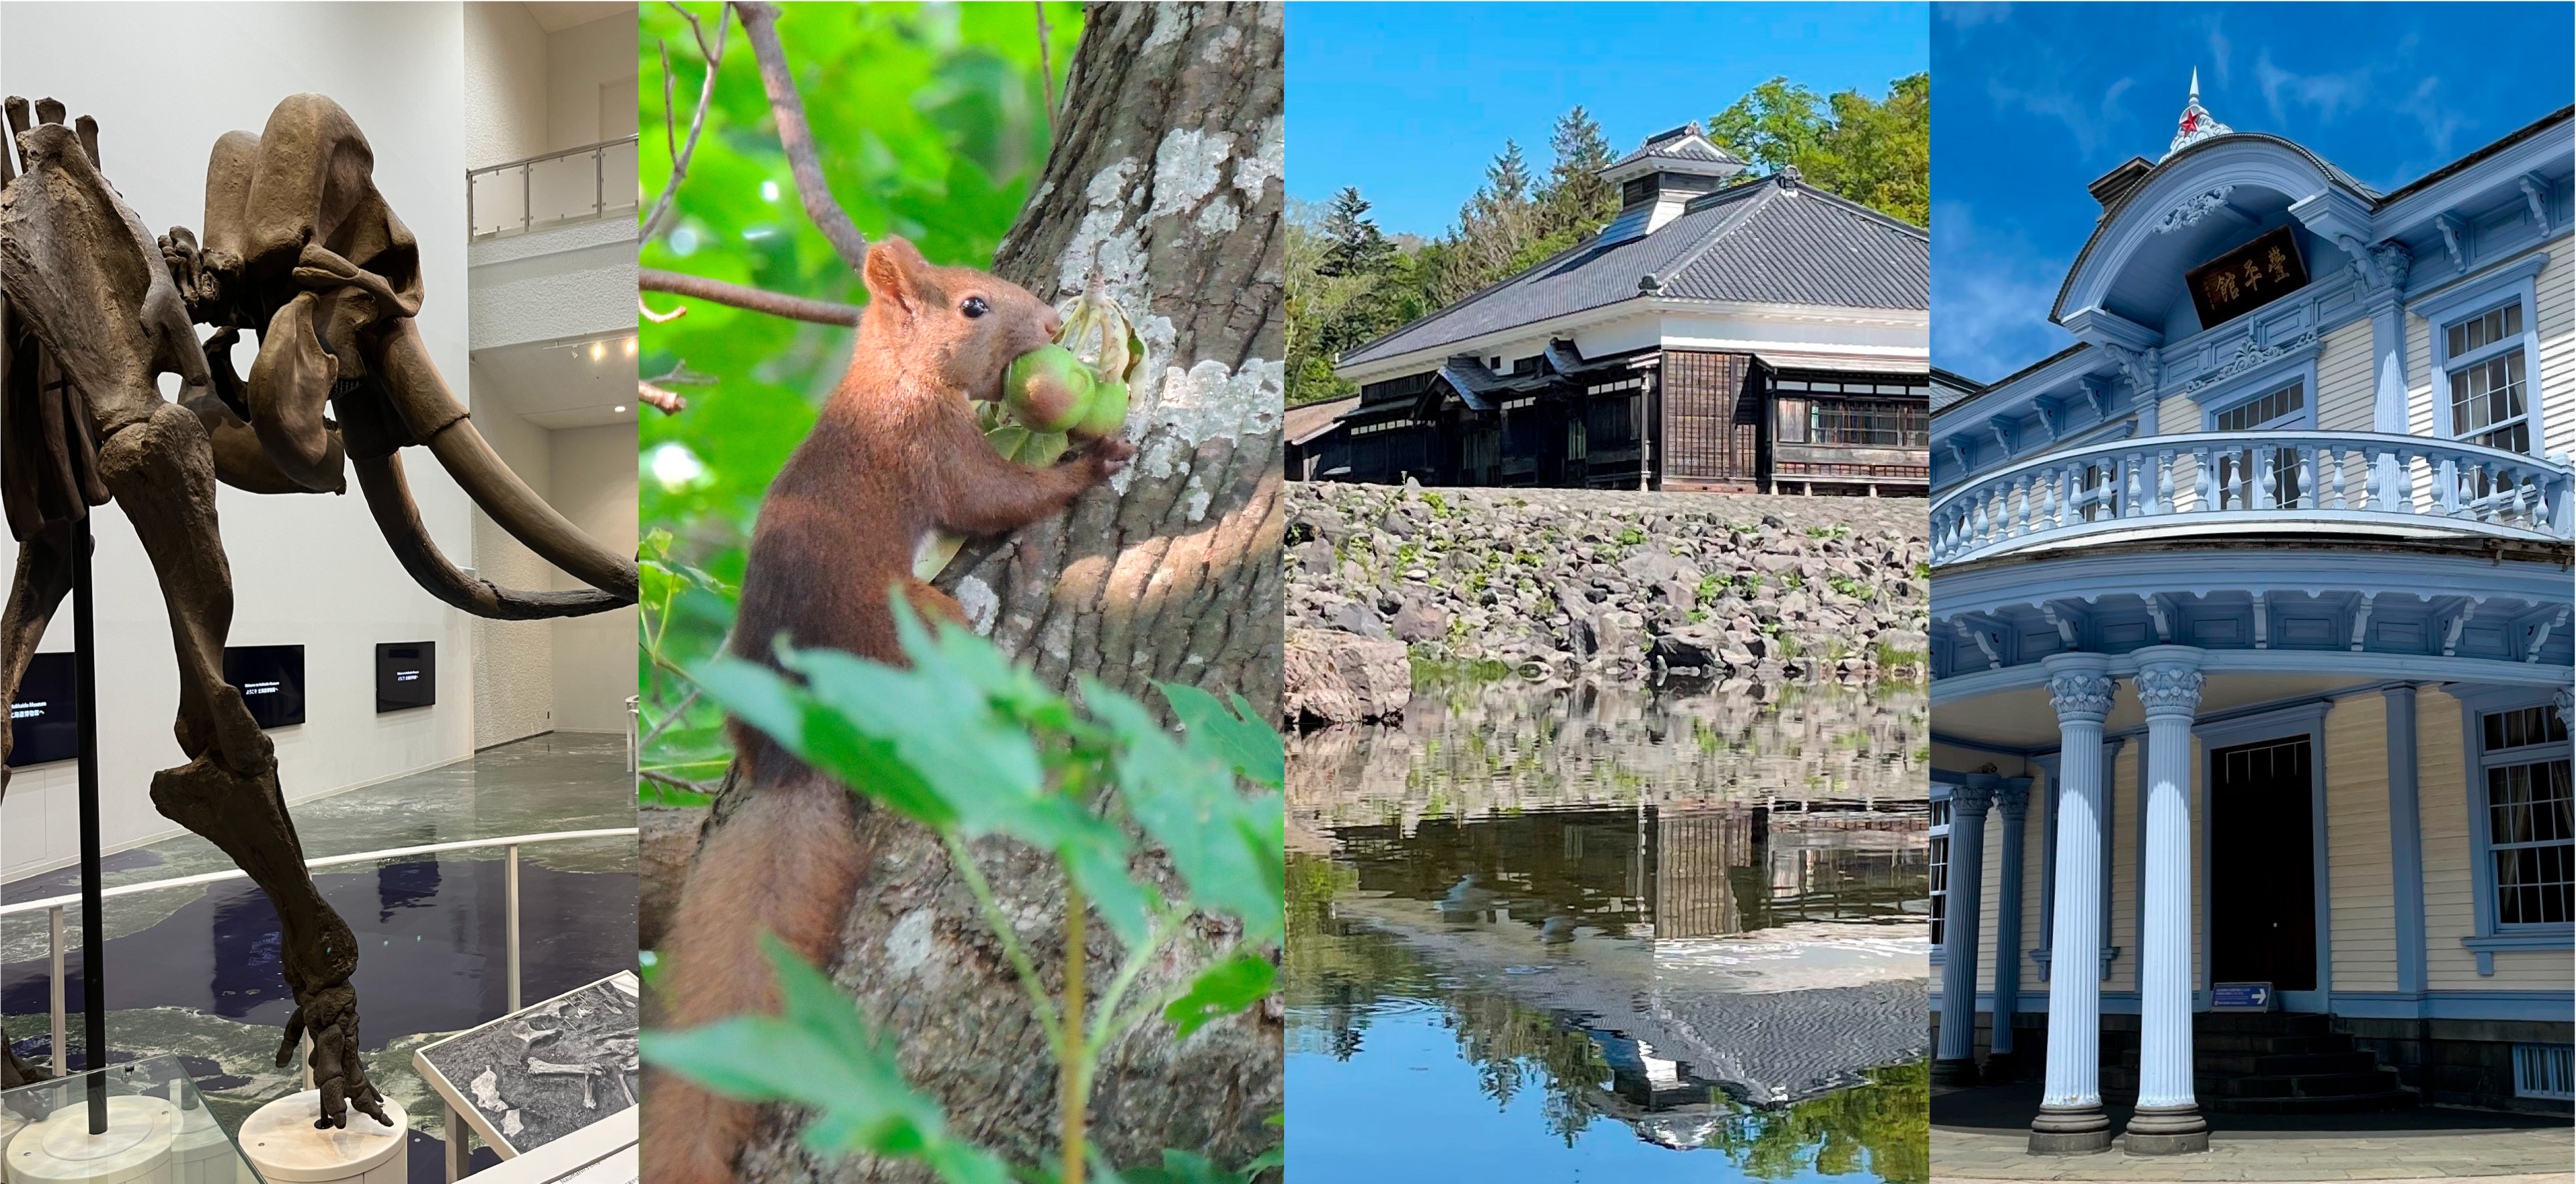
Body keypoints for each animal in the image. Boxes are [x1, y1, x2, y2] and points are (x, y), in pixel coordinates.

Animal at [644, 235, 1128, 1179]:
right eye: (973, 306)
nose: (1057, 325)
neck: (892, 371)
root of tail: (795, 752)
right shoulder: (933, 446)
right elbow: (997, 496)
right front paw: (1089, 461)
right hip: (911, 625)